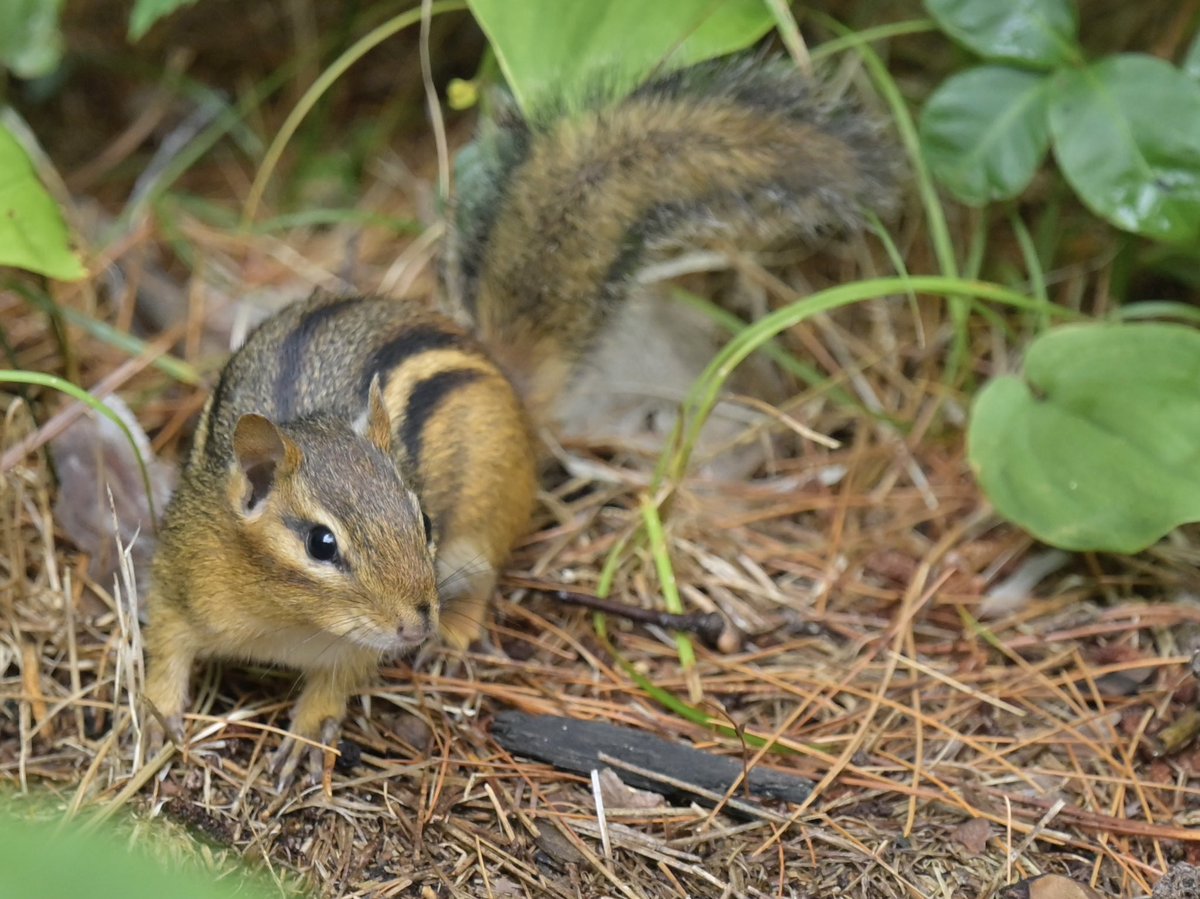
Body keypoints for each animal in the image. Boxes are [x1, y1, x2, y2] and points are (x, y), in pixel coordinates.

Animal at [143, 55, 898, 786]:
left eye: (423, 521)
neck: (285, 618)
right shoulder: (181, 577)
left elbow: (338, 681)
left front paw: (306, 737)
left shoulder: (358, 641)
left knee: (483, 578)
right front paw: (155, 718)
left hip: (485, 518)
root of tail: (493, 361)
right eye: (321, 544)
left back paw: (456, 637)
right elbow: (162, 641)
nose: (416, 622)